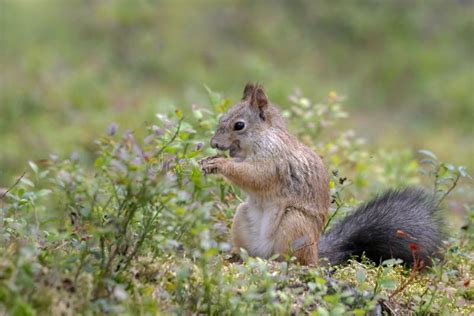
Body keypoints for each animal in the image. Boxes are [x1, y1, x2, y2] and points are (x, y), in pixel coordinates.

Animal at [198, 84, 442, 266]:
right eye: (221, 118)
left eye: (239, 125)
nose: (214, 143)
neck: (263, 137)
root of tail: (317, 256)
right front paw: (208, 161)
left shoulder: (275, 160)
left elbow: (256, 176)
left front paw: (220, 163)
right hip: (242, 218)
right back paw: (235, 257)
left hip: (295, 224)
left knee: (297, 261)